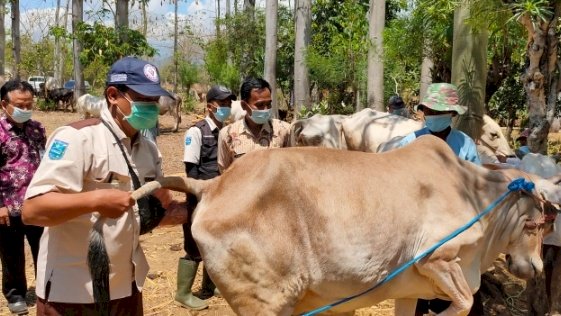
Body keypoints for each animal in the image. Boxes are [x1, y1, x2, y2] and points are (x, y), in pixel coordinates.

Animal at [132, 136, 560, 316]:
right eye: (540, 222)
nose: (537, 267)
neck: (475, 195)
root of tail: (213, 184)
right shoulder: (437, 258)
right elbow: (466, 301)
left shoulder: (410, 290)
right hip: (266, 303)